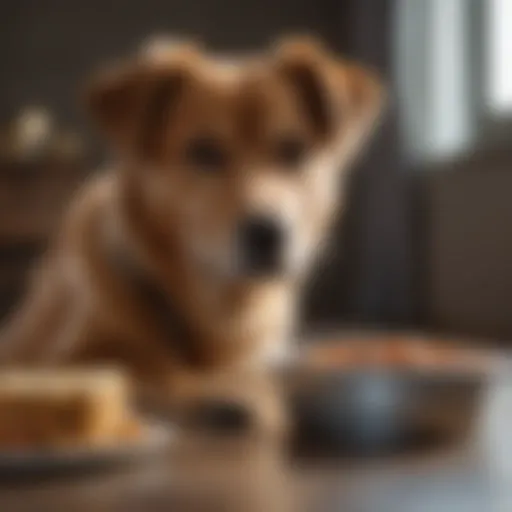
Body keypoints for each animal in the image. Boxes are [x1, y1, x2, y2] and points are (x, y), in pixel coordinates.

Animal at [0, 36, 384, 434]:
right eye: (204, 151)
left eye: (293, 150)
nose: (268, 233)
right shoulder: (68, 354)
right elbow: (147, 367)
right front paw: (230, 396)